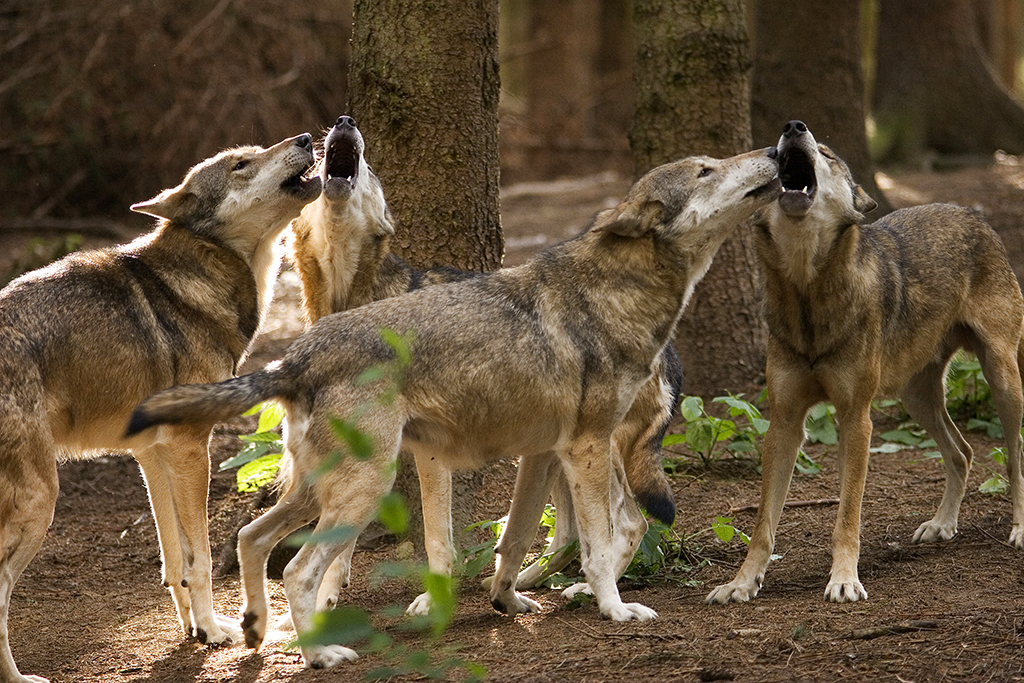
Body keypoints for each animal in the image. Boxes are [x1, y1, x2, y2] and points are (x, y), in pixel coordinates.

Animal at [0, 133, 319, 683]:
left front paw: (194, 630)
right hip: (40, 503)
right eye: (241, 165)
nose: (304, 137)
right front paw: (214, 630)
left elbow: (175, 562)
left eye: (257, 151)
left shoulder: (152, 454)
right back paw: (17, 677)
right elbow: (202, 559)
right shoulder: (192, 448)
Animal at [130, 147, 782, 671]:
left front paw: (509, 600)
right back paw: (319, 654)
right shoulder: (585, 447)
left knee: (251, 537)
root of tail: (298, 355)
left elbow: (517, 540)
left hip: (321, 490)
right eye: (707, 170)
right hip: (366, 487)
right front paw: (615, 611)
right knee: (299, 569)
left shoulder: (545, 453)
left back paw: (257, 630)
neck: (617, 296)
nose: (777, 151)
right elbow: (598, 545)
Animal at [704, 120, 1024, 606]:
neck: (808, 296)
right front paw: (742, 583)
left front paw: (844, 579)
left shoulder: (856, 419)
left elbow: (847, 515)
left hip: (1002, 379)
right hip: (916, 398)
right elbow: (763, 524)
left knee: (1014, 456)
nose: (793, 127)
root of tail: (972, 214)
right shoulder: (783, 422)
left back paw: (1020, 529)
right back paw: (942, 525)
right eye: (780, 143)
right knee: (963, 452)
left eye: (828, 154)